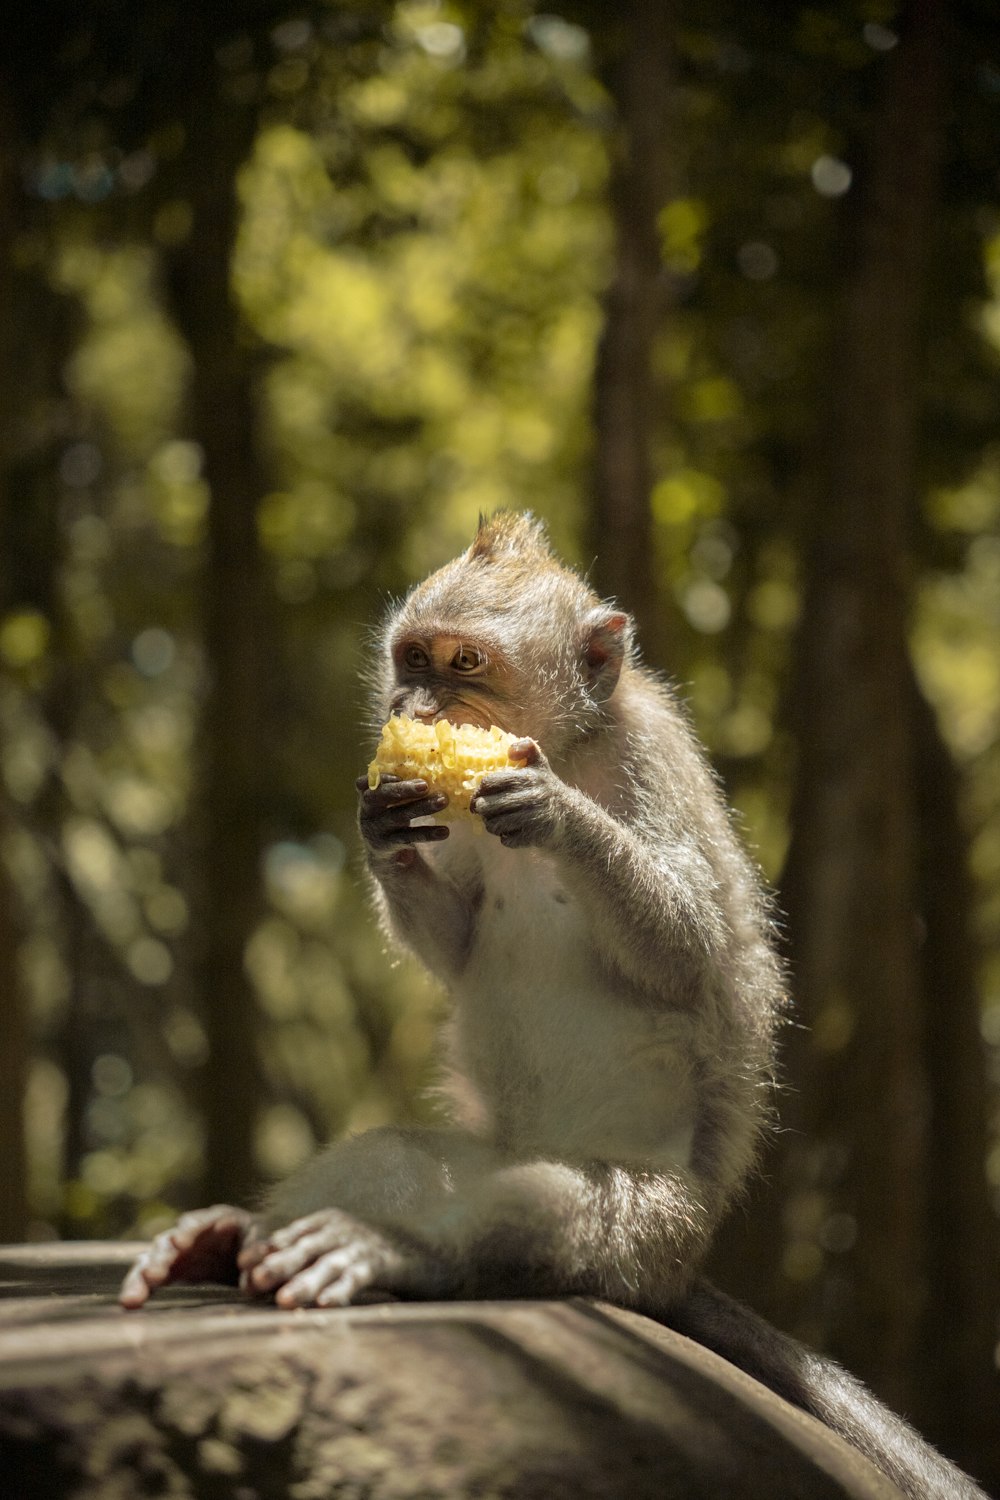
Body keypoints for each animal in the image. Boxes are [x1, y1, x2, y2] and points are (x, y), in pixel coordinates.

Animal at [122, 516, 983, 1500]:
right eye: (412, 657)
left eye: (464, 660)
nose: (413, 704)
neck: (564, 743)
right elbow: (457, 942)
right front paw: (384, 824)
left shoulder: (652, 760)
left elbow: (693, 952)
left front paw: (558, 816)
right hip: (491, 1157)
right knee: (401, 1160)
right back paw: (239, 1238)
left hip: (654, 1230)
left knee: (553, 1206)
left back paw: (397, 1253)